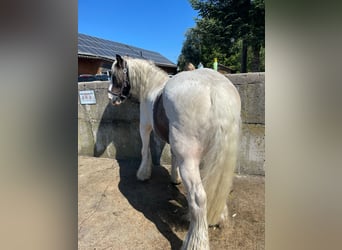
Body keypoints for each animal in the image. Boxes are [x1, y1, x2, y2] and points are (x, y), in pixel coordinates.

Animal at [107, 55, 240, 250]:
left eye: (113, 74)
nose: (111, 97)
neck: (151, 86)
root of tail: (215, 87)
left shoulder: (144, 127)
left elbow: (145, 149)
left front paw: (143, 174)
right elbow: (173, 156)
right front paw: (174, 178)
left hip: (189, 160)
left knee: (199, 198)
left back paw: (196, 242)